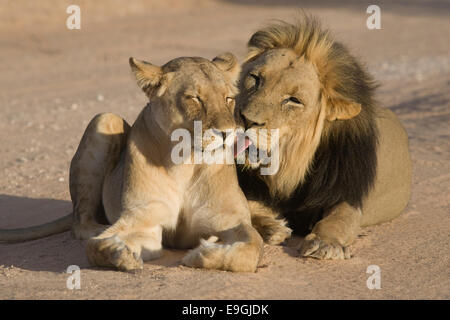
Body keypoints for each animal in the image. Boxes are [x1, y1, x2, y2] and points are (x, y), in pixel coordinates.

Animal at [0, 53, 262, 272]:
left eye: (229, 98)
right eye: (195, 98)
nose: (229, 133)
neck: (185, 163)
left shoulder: (229, 219)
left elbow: (252, 248)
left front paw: (203, 253)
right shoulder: (143, 219)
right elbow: (94, 246)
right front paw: (120, 253)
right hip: (105, 119)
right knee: (80, 223)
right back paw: (99, 228)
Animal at [236, 16, 412, 258]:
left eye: (293, 100)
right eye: (255, 78)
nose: (246, 119)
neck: (290, 166)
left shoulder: (347, 195)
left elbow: (339, 220)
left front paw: (324, 243)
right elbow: (247, 206)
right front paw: (272, 227)